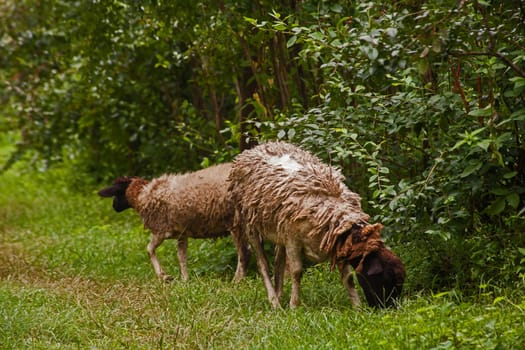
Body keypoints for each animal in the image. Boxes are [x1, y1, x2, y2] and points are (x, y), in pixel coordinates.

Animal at [98, 163, 250, 282]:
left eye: (116, 193)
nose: (114, 207)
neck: (143, 194)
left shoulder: (161, 230)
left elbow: (149, 249)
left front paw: (164, 276)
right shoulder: (182, 233)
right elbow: (181, 257)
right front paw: (184, 279)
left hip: (236, 222)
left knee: (243, 253)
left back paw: (237, 281)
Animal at [227, 141, 404, 308]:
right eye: (385, 279)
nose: (386, 308)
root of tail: (255, 148)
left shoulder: (338, 243)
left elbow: (347, 278)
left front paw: (357, 306)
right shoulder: (293, 239)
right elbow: (297, 271)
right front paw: (294, 305)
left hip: (279, 229)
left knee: (278, 262)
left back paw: (278, 295)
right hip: (249, 223)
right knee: (263, 263)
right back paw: (274, 302)